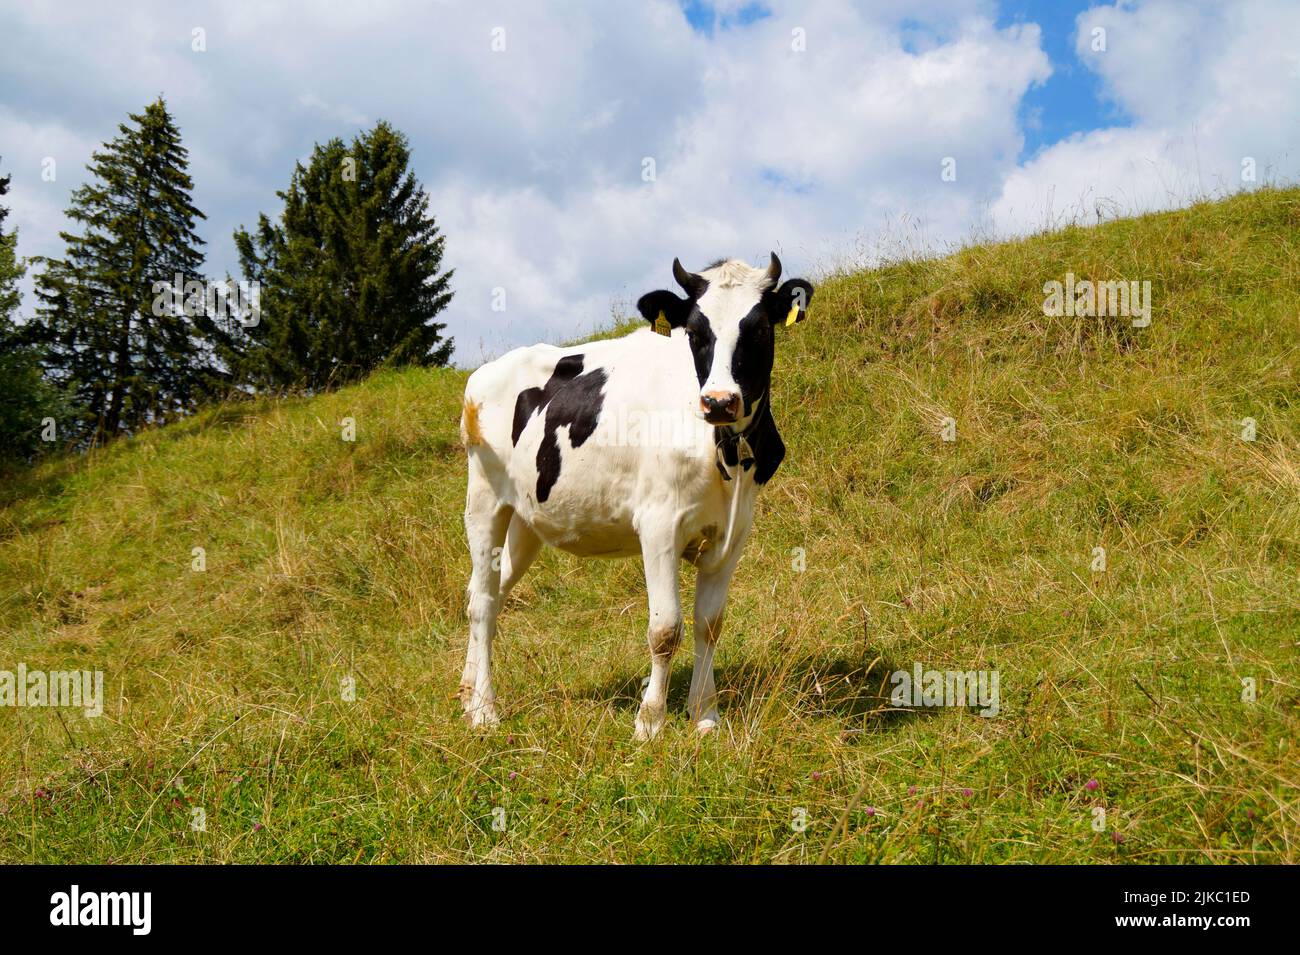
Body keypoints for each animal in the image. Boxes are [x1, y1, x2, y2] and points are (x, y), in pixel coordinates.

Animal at [457, 252, 811, 738]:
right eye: (695, 333)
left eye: (759, 329)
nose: (719, 401)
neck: (723, 448)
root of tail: (488, 370)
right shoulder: (659, 526)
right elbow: (666, 629)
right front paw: (650, 722)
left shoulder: (734, 533)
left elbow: (709, 624)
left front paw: (705, 715)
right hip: (484, 500)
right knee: (483, 602)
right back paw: (485, 710)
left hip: (527, 519)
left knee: (485, 593)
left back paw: (468, 695)